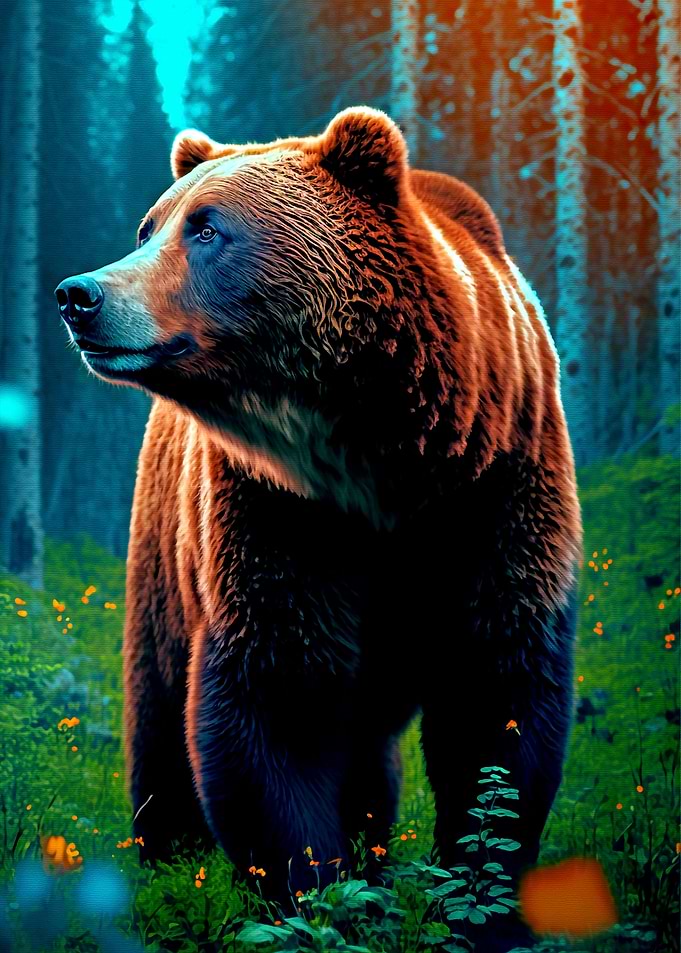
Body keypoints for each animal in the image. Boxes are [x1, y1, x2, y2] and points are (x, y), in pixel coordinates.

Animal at [56, 106, 581, 945]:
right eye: (149, 226)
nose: (81, 294)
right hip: (163, 551)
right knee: (159, 715)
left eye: (207, 228)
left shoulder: (495, 491)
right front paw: (320, 897)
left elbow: (496, 701)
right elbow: (275, 701)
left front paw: (480, 905)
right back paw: (169, 858)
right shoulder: (273, 513)